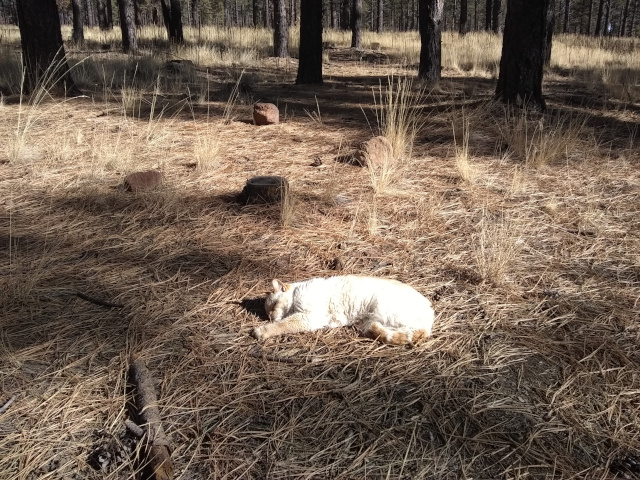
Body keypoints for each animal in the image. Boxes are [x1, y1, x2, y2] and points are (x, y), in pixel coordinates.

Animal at [250, 274, 436, 344]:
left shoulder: (308, 317)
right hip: (372, 321)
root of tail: (430, 312)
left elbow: (283, 325)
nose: (271, 317)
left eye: (273, 306)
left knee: (415, 332)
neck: (297, 292)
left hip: (384, 309)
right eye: (267, 312)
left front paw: (262, 331)